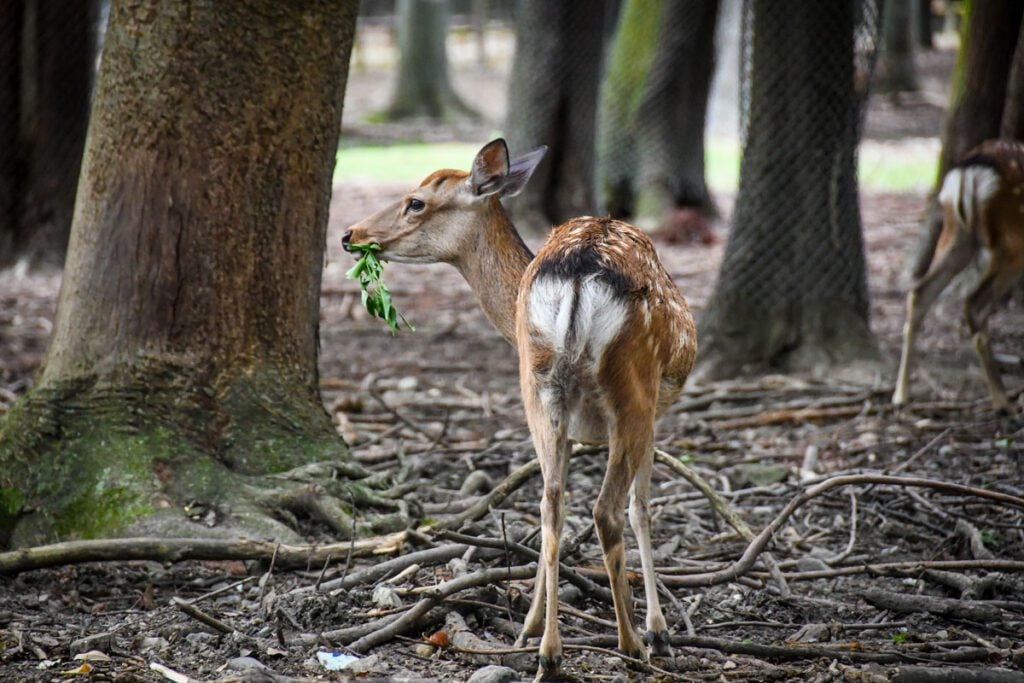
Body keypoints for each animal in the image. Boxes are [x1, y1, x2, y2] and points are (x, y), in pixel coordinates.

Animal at [342, 140, 696, 679]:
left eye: (415, 202)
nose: (350, 234)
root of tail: (577, 276)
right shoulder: (655, 413)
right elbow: (643, 511)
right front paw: (660, 631)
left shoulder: (568, 422)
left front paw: (528, 625)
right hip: (632, 392)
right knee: (606, 510)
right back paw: (631, 644)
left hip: (539, 385)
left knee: (551, 503)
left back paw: (547, 650)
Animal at [888, 139, 1024, 411]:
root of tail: (968, 173)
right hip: (1010, 244)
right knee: (973, 304)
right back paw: (1002, 401)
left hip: (955, 234)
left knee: (920, 292)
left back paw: (901, 395)